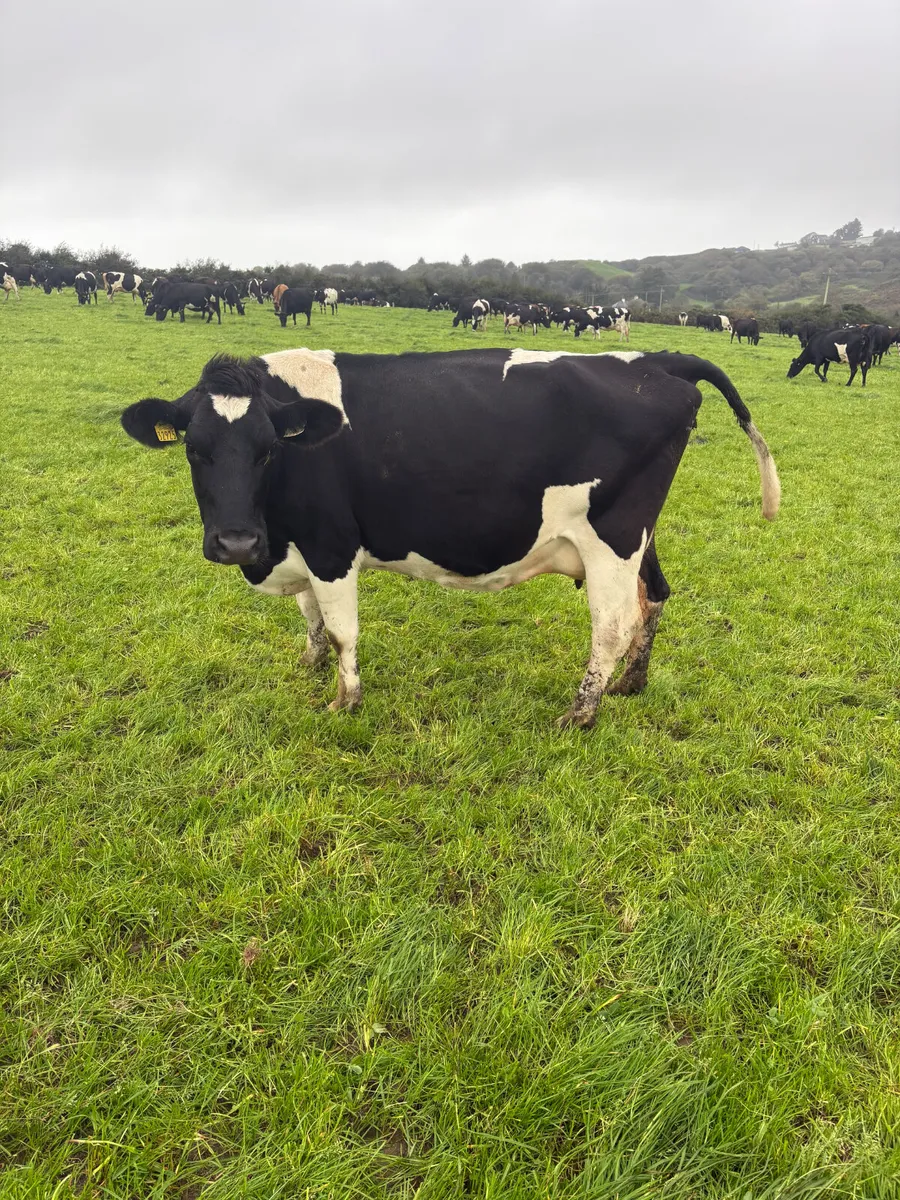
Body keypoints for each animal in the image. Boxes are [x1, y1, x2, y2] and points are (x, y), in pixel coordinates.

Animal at [120, 347, 780, 729]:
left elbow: (340, 628)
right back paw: (631, 683)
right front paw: (308, 663)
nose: (235, 543)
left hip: (612, 537)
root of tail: (656, 360)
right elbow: (309, 617)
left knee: (613, 623)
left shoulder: (330, 544)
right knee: (656, 595)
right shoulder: (292, 543)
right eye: (195, 449)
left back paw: (581, 712)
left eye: (266, 452)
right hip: (639, 533)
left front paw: (344, 700)